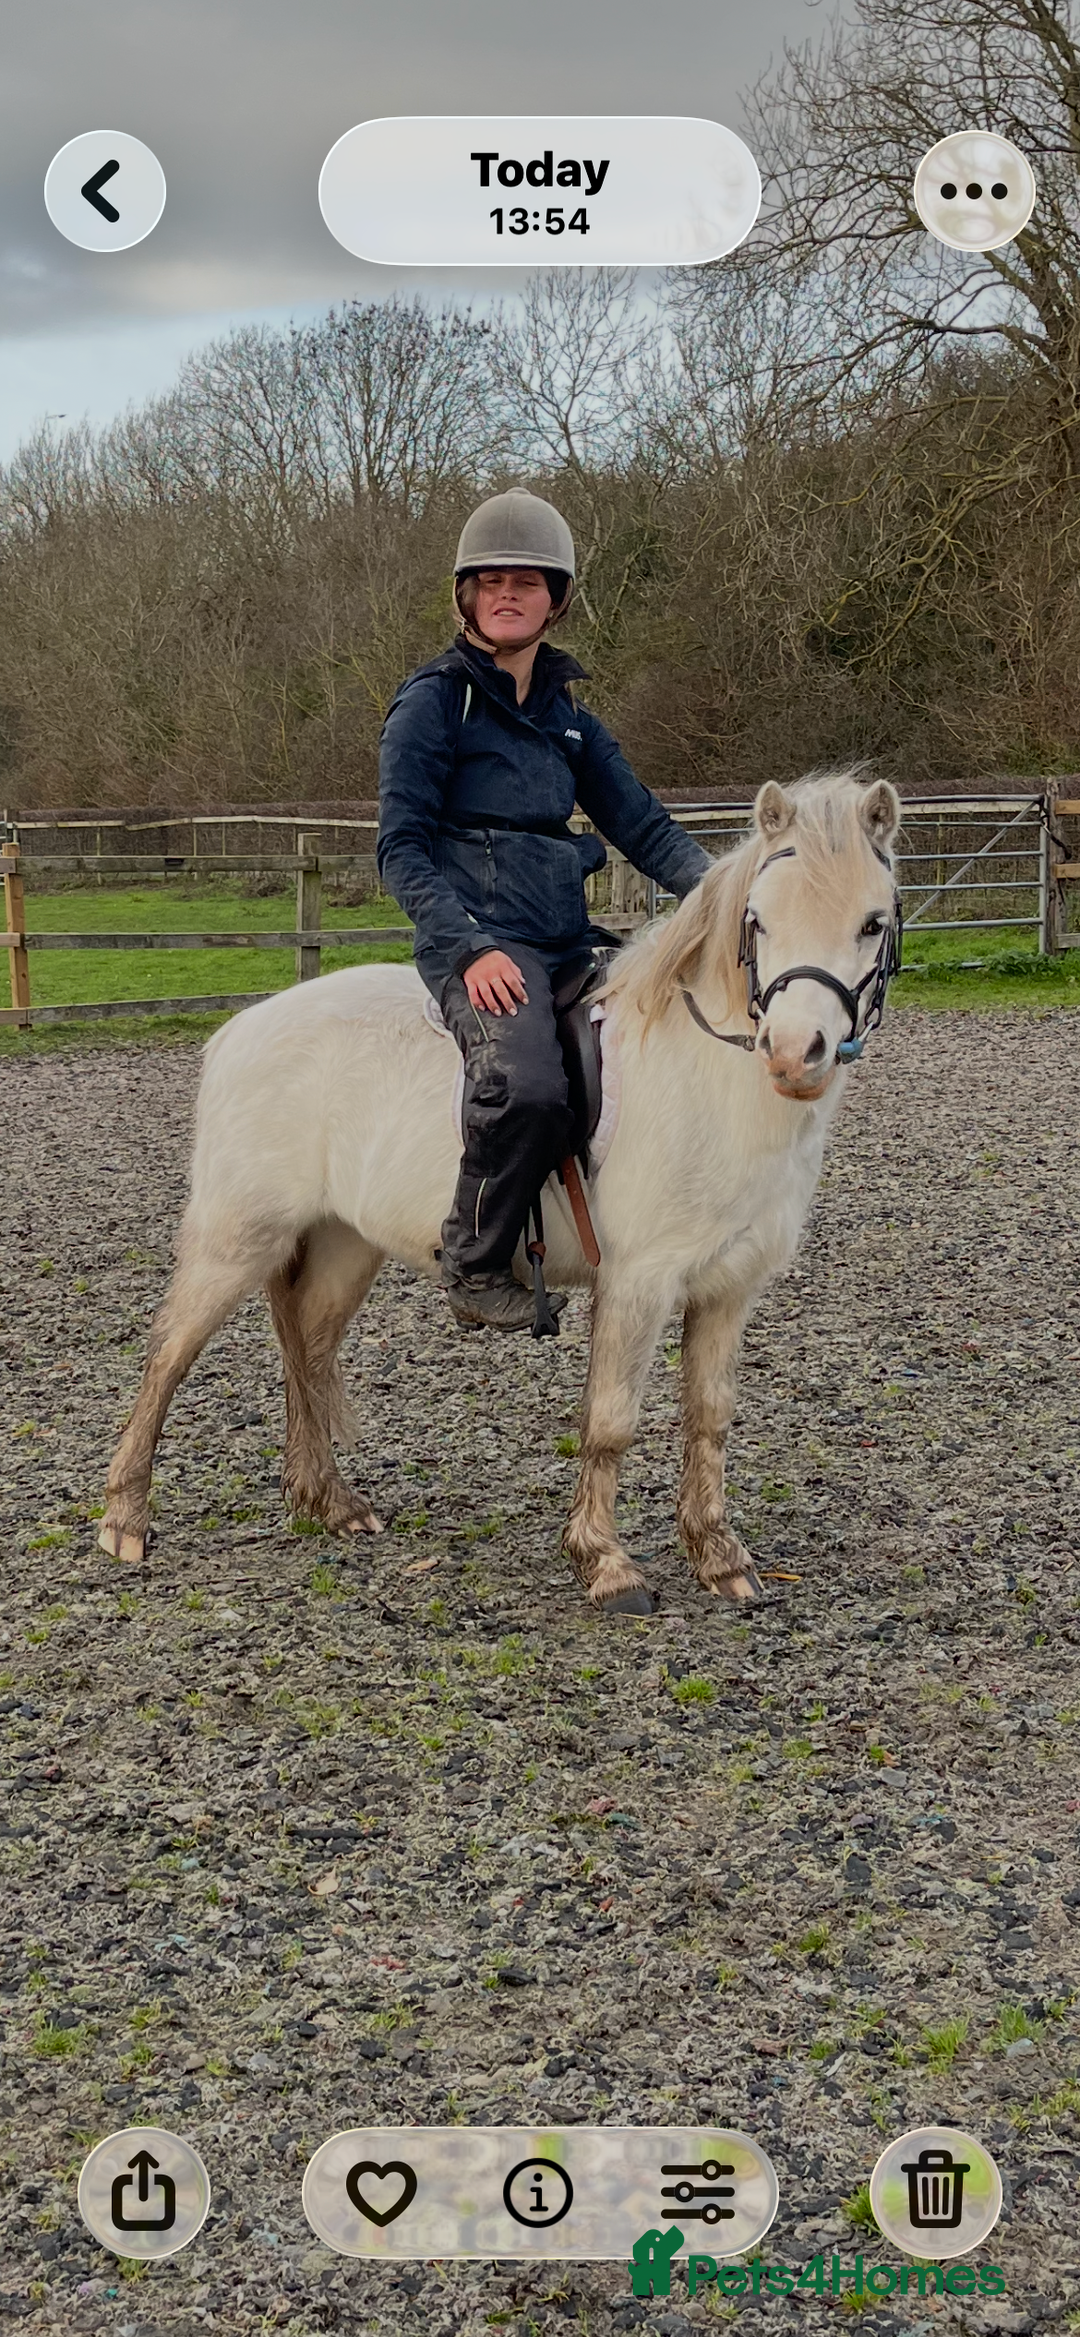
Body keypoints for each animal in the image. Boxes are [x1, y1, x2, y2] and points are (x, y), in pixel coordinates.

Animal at [98, 770, 903, 1614]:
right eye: (759, 920)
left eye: (872, 923)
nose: (794, 1052)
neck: (708, 1079)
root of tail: (240, 1029)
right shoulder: (639, 1281)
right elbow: (610, 1419)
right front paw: (605, 1562)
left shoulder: (728, 1288)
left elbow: (710, 1417)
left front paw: (718, 1554)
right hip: (238, 1237)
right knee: (168, 1355)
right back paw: (125, 1519)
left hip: (344, 1242)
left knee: (308, 1348)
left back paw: (329, 1502)